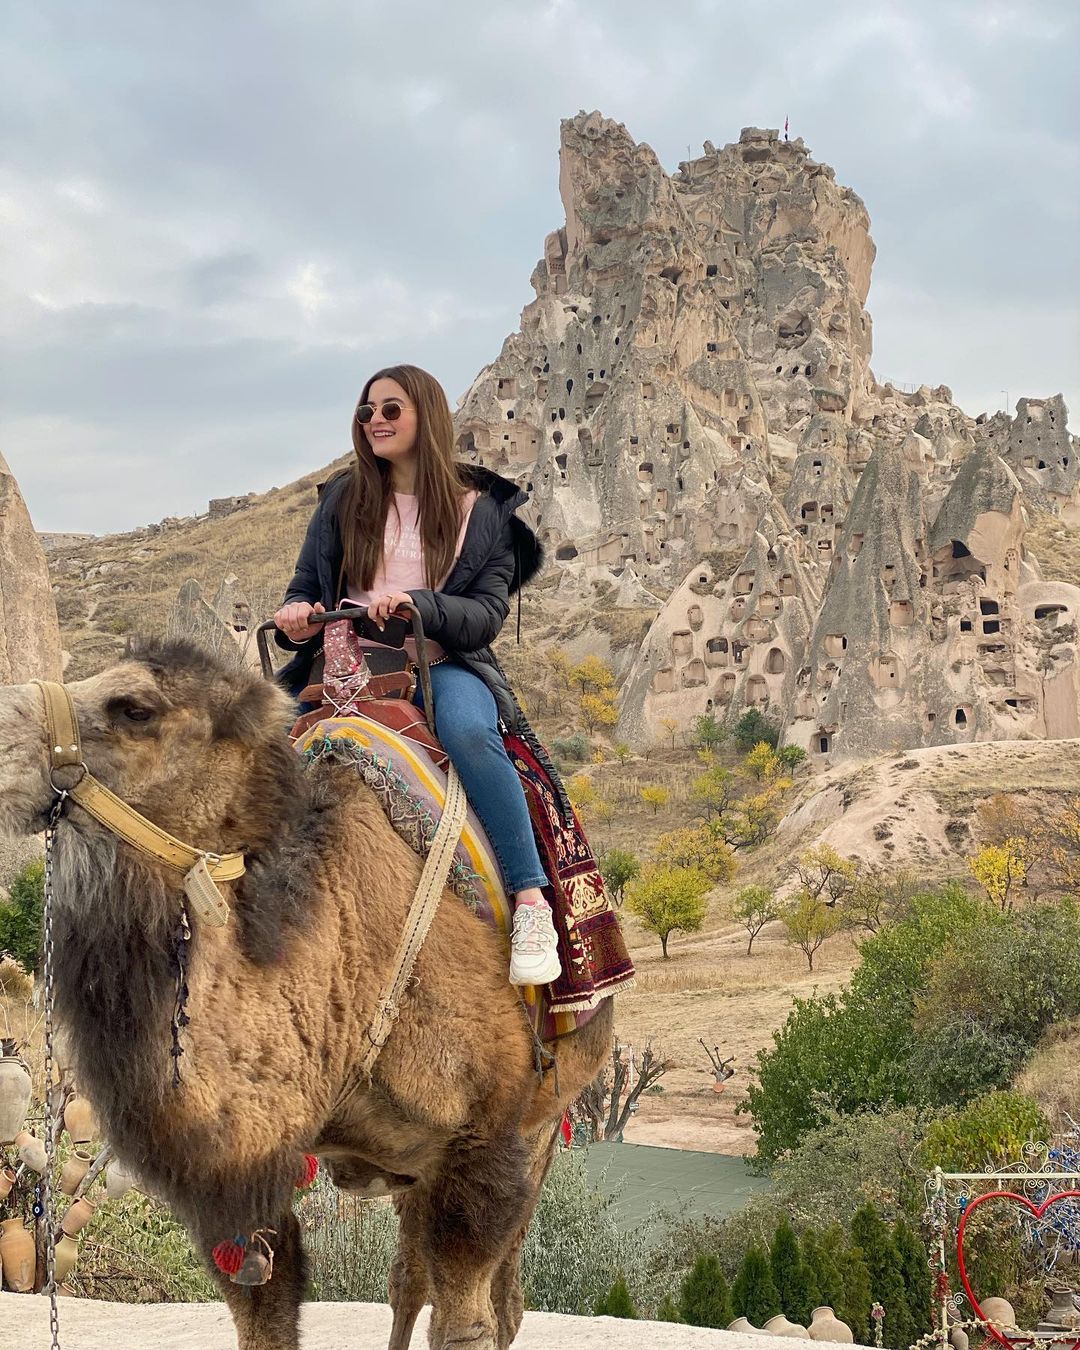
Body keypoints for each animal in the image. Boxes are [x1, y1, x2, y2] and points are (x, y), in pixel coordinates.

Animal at [0, 645, 612, 1350]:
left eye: (135, 709)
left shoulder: (489, 1135)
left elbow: (466, 1325)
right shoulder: (249, 1174)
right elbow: (267, 1311)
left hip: (543, 1120)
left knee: (499, 1299)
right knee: (409, 1280)